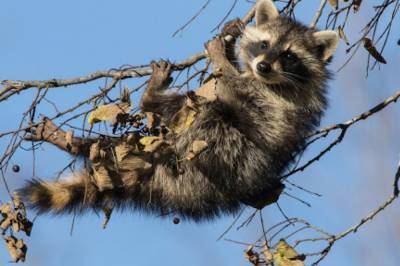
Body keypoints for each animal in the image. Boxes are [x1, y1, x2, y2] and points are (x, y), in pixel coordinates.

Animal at [18, 0, 338, 220]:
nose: (263, 66)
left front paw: (221, 56)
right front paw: (230, 39)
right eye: (263, 44)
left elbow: (230, 84)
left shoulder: (273, 98)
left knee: (205, 110)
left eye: (289, 55)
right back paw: (79, 144)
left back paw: (151, 99)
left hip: (225, 153)